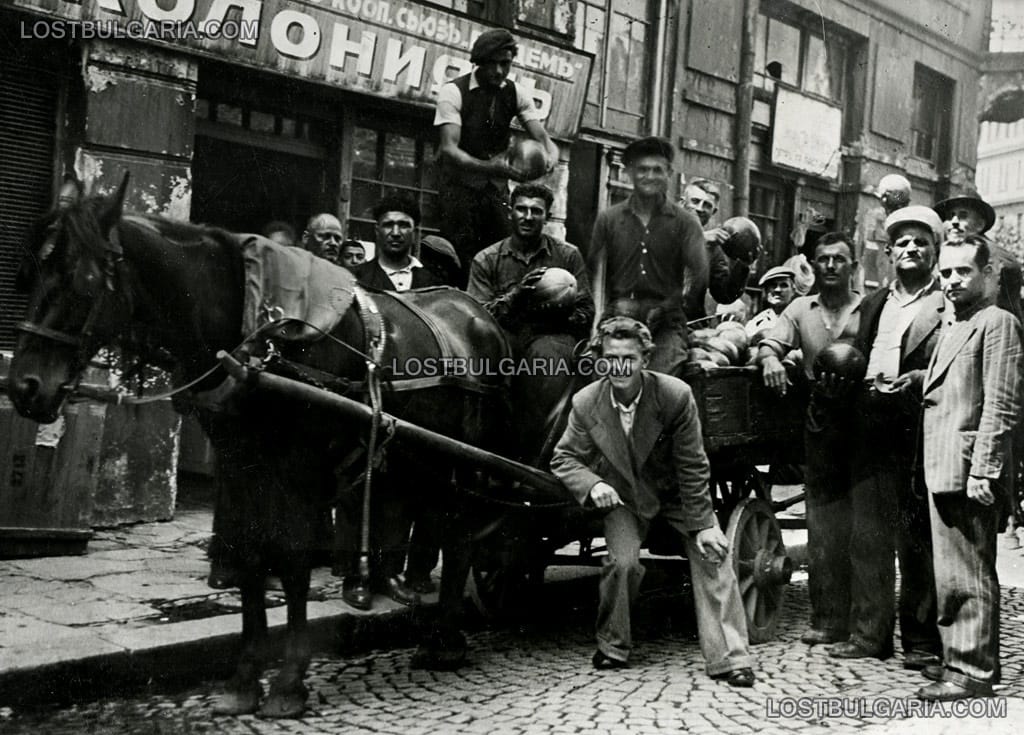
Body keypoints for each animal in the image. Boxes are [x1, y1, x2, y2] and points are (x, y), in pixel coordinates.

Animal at [8, 178, 512, 720]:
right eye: (29, 274)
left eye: (83, 279)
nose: (24, 387)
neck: (257, 335)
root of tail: (480, 314)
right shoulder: (240, 462)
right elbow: (250, 555)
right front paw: (245, 678)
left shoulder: (300, 468)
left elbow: (291, 561)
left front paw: (289, 681)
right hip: (428, 460)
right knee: (448, 526)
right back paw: (439, 632)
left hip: (469, 459)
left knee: (459, 533)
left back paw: (445, 639)